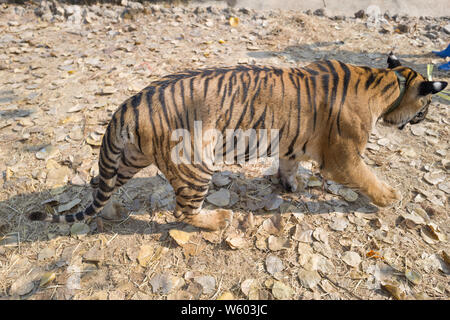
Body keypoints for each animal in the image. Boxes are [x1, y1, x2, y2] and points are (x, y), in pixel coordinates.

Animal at [28, 53, 446, 231]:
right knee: (183, 212)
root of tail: (131, 102)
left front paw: (290, 184)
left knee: (103, 183)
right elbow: (368, 178)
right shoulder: (344, 158)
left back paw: (106, 202)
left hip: (130, 157)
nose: (426, 117)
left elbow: (289, 163)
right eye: (427, 104)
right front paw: (389, 197)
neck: (388, 81)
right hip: (196, 164)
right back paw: (218, 220)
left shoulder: (292, 142)